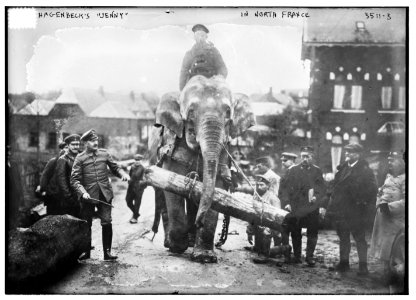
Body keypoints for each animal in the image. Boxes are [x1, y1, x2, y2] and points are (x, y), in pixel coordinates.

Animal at [148, 75, 255, 262]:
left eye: (228, 113)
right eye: (190, 112)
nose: (199, 222)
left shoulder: (223, 150)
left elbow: (217, 186)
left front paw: (204, 257)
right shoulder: (173, 144)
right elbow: (173, 183)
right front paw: (178, 247)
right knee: (161, 194)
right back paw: (171, 243)